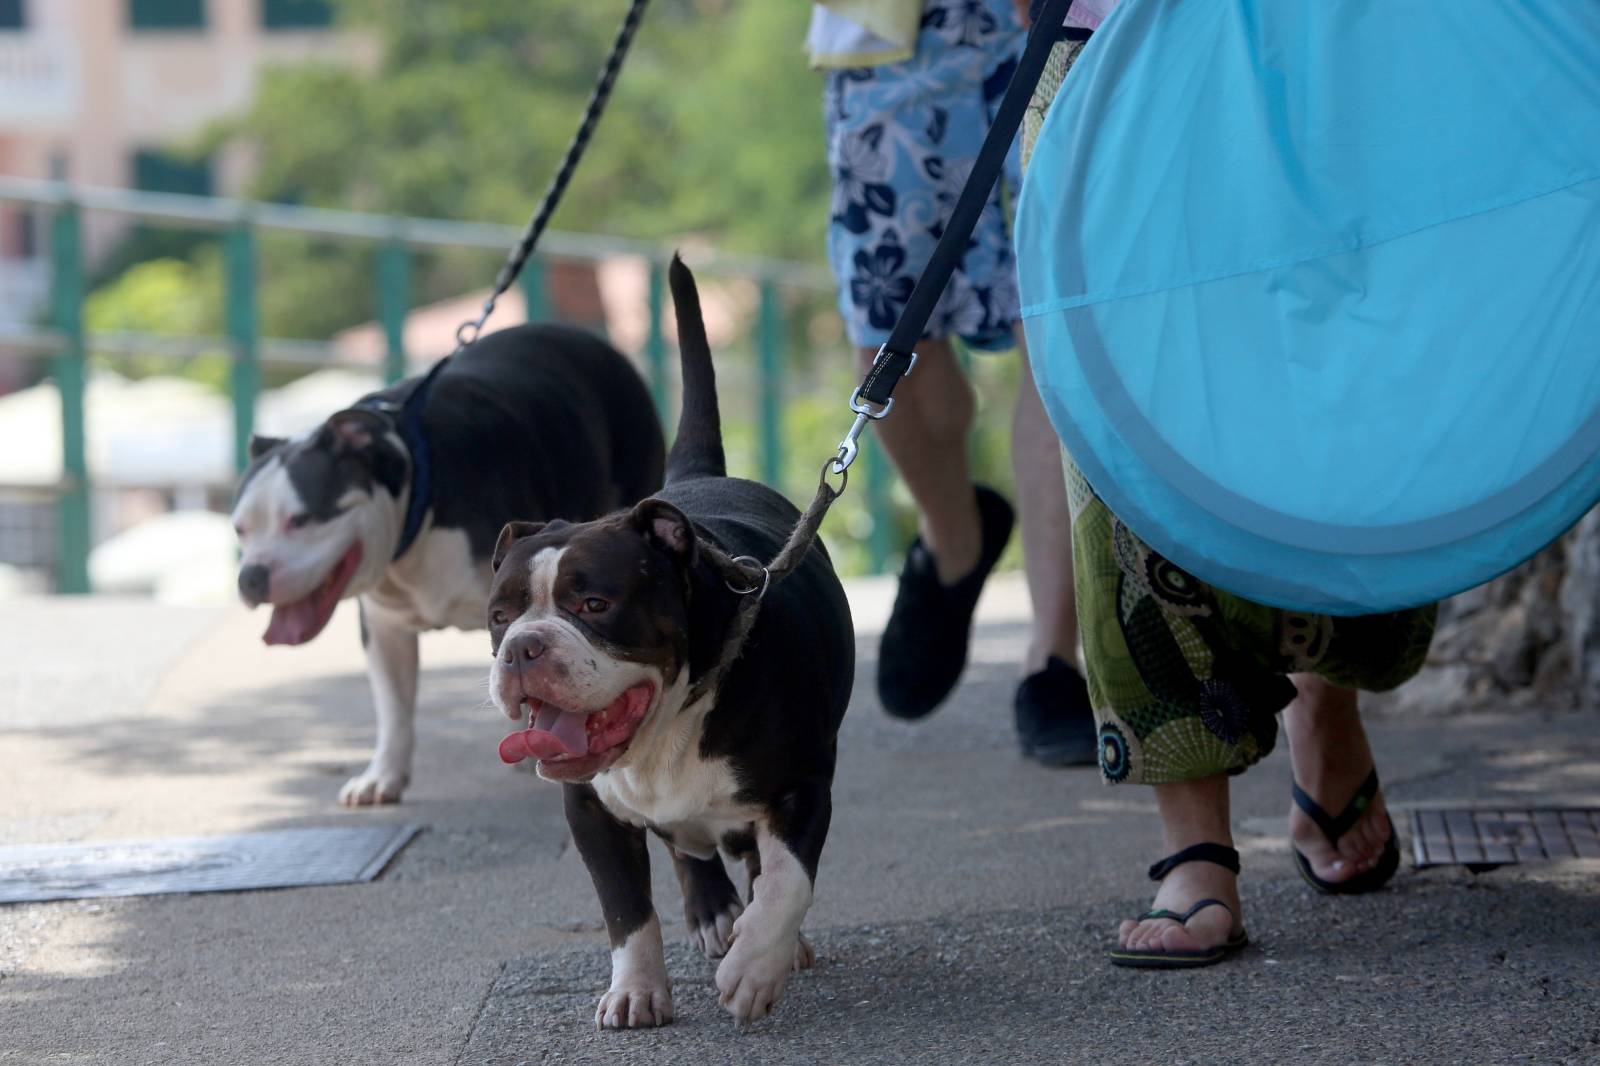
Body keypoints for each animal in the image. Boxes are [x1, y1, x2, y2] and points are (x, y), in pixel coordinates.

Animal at [232, 326, 662, 806]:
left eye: (300, 520)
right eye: (239, 529)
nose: (250, 578)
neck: (416, 498)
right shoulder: (384, 627)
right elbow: (393, 706)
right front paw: (383, 775)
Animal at [486, 256, 857, 1024]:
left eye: (595, 604)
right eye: (500, 615)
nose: (524, 648)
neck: (669, 725)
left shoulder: (801, 789)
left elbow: (788, 882)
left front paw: (757, 965)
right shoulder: (591, 809)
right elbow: (626, 909)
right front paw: (635, 991)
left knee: (758, 865)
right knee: (692, 852)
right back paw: (714, 913)